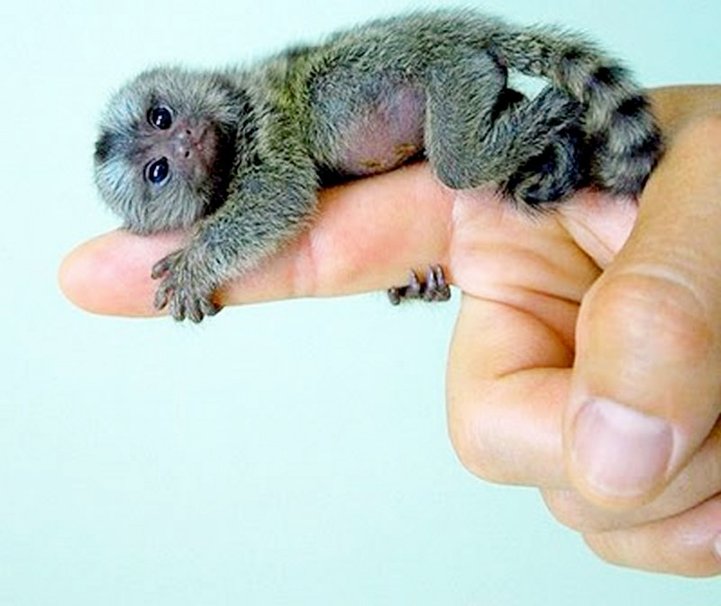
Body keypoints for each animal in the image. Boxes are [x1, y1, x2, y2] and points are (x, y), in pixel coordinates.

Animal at [93, 9, 663, 322]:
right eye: (158, 172)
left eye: (161, 116)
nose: (186, 139)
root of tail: (467, 28)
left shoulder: (263, 117)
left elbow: (280, 192)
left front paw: (195, 262)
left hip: (450, 67)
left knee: (458, 164)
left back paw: (551, 108)